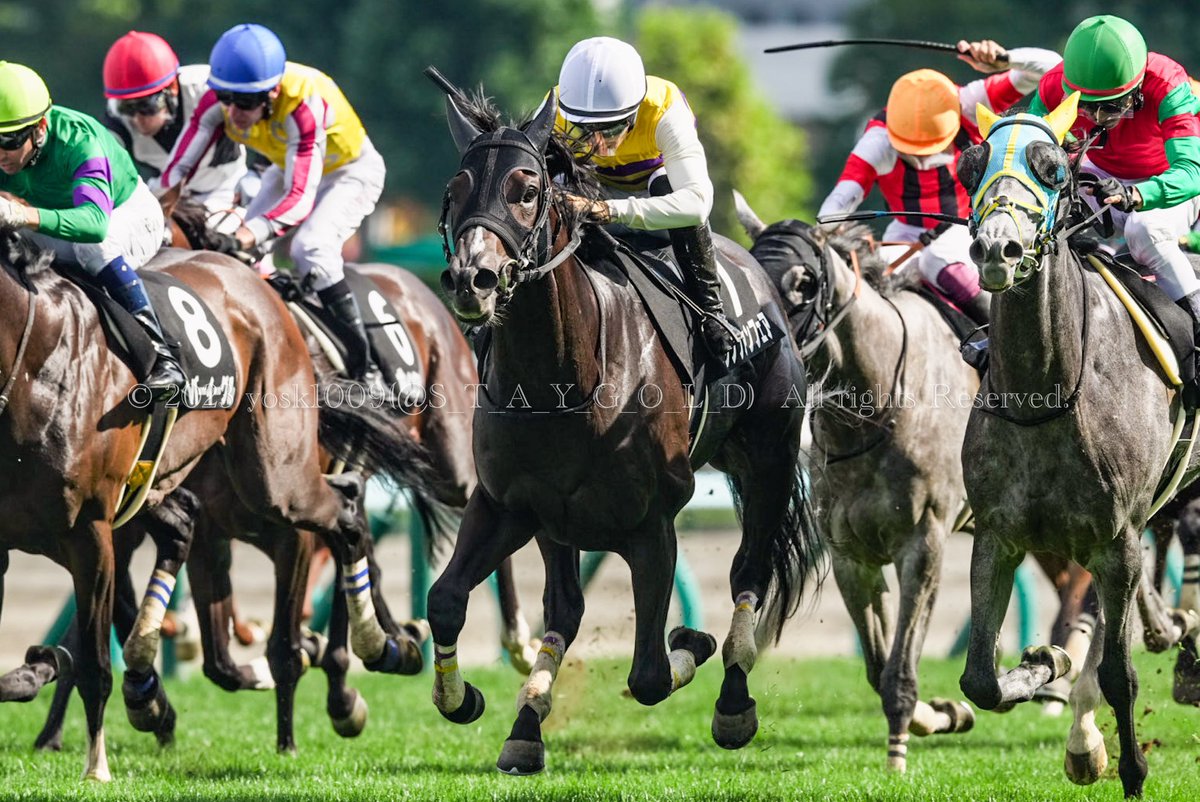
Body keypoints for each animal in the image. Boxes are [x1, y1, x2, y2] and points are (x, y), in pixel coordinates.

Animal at [424, 85, 822, 775]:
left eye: (528, 188)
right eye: (456, 188)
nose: (473, 280)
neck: (561, 379)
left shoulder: (652, 524)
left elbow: (651, 674)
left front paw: (693, 639)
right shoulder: (509, 505)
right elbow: (447, 601)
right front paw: (466, 697)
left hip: (769, 461)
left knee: (748, 574)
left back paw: (734, 700)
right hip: (559, 525)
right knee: (565, 607)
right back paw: (526, 724)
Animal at [957, 92, 1200, 798]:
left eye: (1054, 169)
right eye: (970, 165)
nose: (998, 247)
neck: (1046, 395)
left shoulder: (1113, 541)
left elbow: (1120, 675)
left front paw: (1131, 768)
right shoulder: (999, 534)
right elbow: (981, 680)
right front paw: (1045, 663)